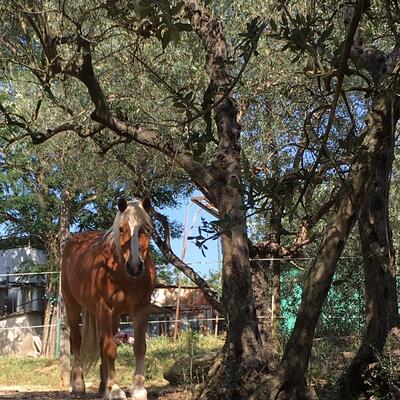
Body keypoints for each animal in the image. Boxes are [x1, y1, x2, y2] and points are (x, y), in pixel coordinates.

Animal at [61, 197, 156, 400]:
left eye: (146, 229)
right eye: (121, 229)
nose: (134, 267)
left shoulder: (141, 309)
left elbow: (139, 347)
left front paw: (138, 389)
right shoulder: (105, 308)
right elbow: (109, 349)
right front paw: (116, 390)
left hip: (113, 317)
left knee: (101, 343)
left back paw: (103, 387)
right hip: (72, 305)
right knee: (76, 341)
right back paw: (78, 385)